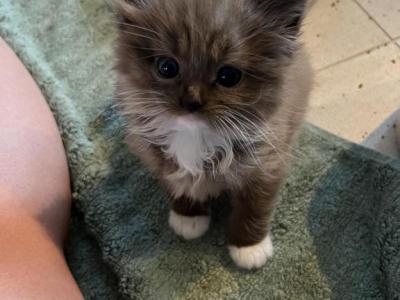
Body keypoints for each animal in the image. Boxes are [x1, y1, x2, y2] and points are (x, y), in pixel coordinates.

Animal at [111, 0, 312, 270]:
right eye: (166, 67)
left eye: (229, 76)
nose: (191, 102)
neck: (195, 136)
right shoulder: (157, 157)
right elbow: (180, 187)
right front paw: (189, 217)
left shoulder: (266, 165)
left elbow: (253, 208)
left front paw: (249, 248)